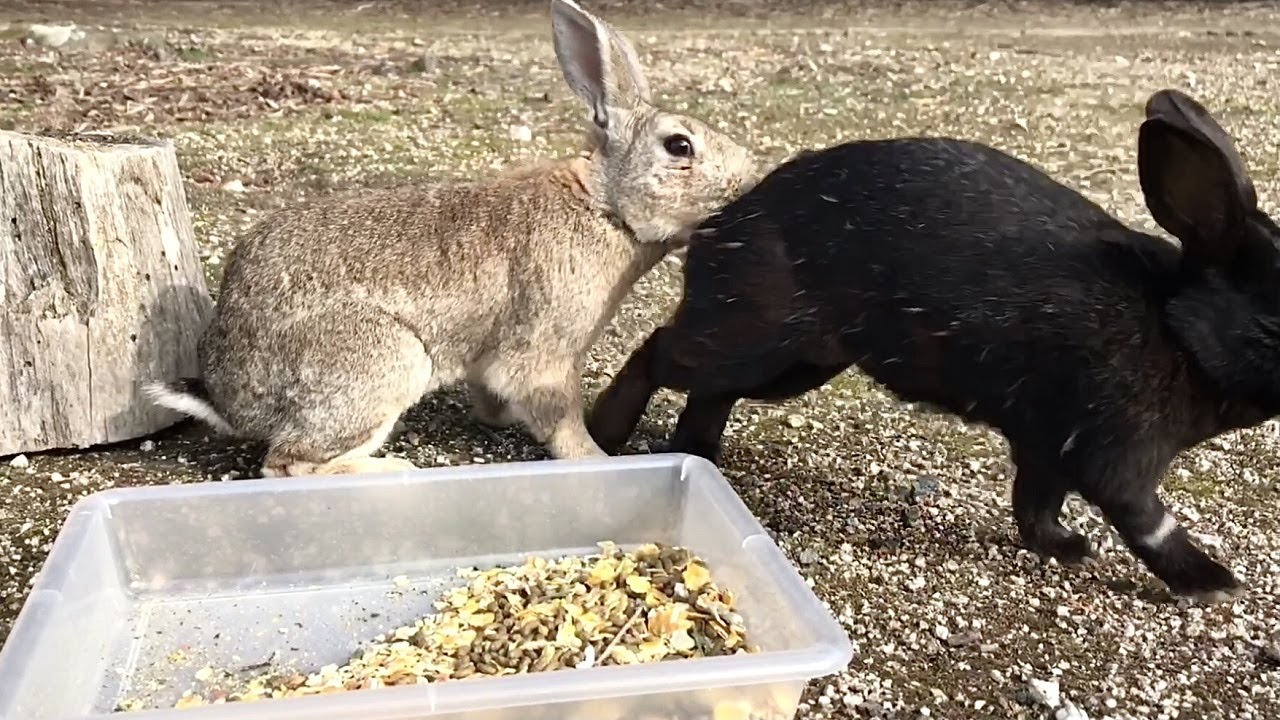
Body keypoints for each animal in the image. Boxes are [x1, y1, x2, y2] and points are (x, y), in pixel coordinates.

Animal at [144, 0, 756, 478]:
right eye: (679, 146)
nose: (747, 184)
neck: (603, 206)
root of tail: (227, 398)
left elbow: (492, 393)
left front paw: (499, 420)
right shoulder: (545, 353)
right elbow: (559, 418)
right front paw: (596, 461)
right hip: (382, 359)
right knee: (287, 462)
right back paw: (392, 469)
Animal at [587, 87, 1280, 603]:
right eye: (1275, 324)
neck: (1176, 329)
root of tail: (720, 224)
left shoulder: (1048, 444)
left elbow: (1035, 505)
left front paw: (1065, 548)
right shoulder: (1115, 454)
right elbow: (1150, 524)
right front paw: (1215, 583)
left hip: (798, 363)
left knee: (710, 391)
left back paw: (701, 453)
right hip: (758, 337)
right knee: (661, 352)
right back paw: (607, 430)